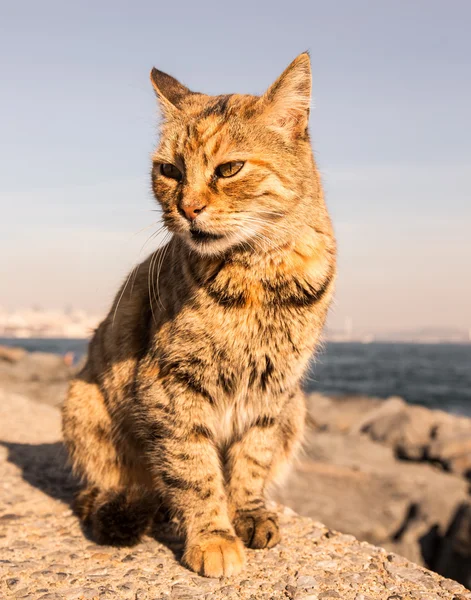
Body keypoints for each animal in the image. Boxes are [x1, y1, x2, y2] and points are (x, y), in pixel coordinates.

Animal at [62, 52, 338, 576]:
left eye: (229, 169)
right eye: (169, 170)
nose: (187, 208)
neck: (260, 274)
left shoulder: (274, 391)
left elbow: (252, 460)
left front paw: (246, 513)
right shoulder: (170, 386)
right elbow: (194, 469)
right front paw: (213, 536)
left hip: (297, 408)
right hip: (84, 402)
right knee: (117, 486)